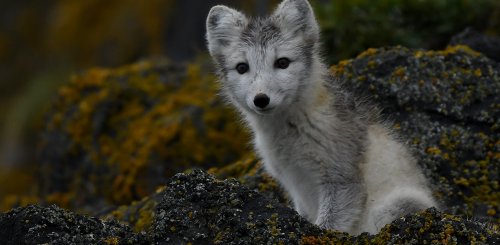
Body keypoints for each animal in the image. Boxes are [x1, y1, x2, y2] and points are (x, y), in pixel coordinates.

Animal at [205, 0, 436, 234]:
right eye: (242, 67)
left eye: (282, 62)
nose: (261, 99)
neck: (288, 132)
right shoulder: (292, 182)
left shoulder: (342, 180)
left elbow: (327, 226)